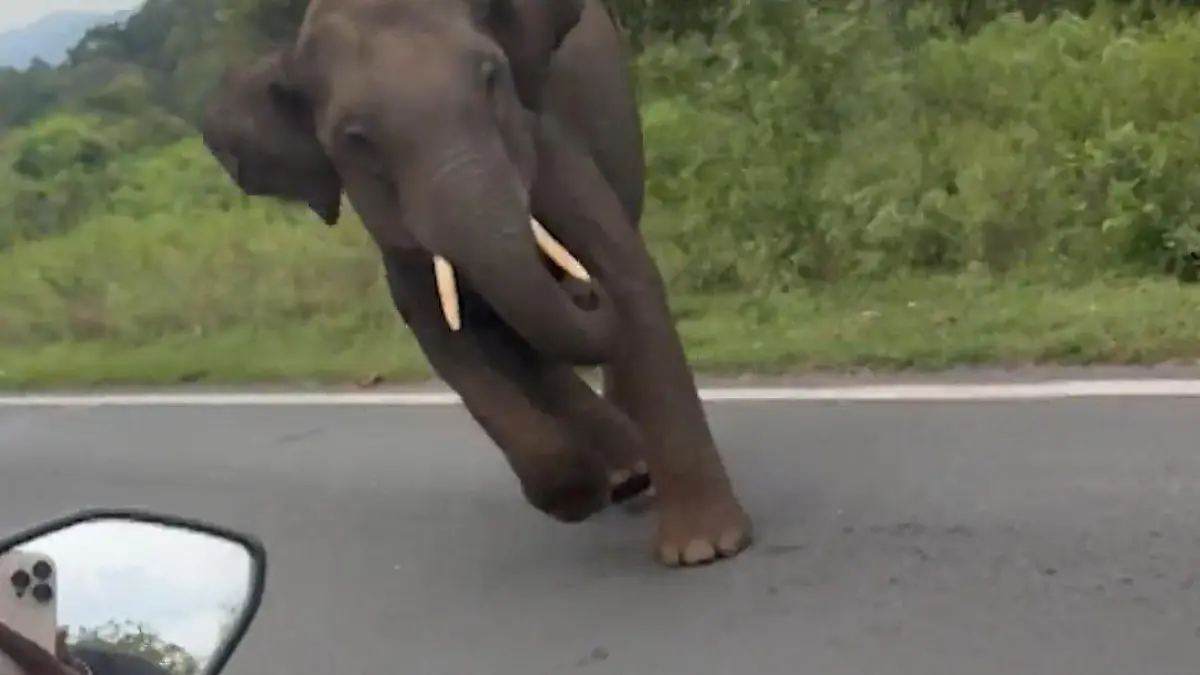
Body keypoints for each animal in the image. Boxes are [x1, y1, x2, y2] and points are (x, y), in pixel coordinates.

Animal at [200, 0, 752, 567]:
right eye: (355, 139)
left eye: (491, 79)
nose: (583, 290)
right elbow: (442, 332)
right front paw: (575, 495)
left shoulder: (543, 138)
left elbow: (624, 268)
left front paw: (704, 551)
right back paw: (626, 471)